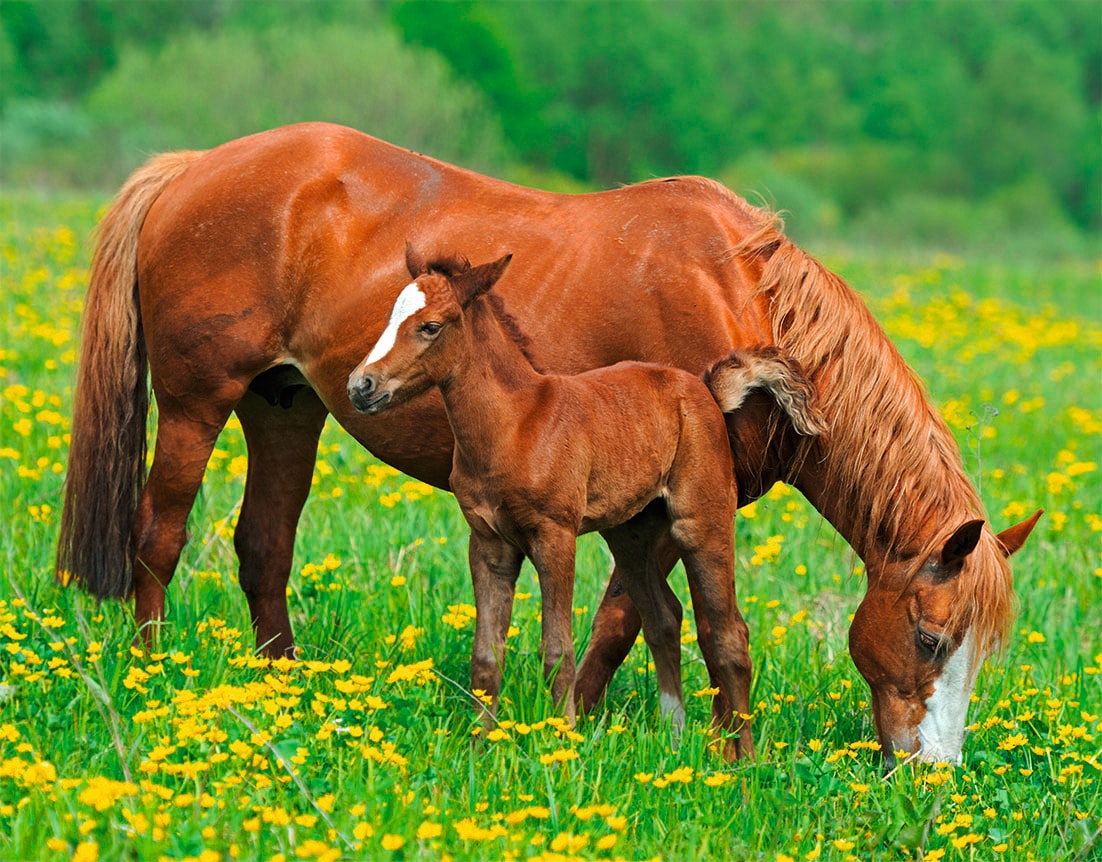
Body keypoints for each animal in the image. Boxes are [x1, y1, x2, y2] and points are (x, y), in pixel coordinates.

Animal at [345, 246, 824, 757]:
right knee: (663, 618)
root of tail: (706, 391)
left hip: (701, 520)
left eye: (430, 326)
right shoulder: (488, 543)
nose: (361, 386)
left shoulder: (555, 536)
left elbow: (557, 651)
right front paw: (478, 748)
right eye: (390, 315)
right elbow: (486, 655)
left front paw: (562, 744)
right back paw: (674, 737)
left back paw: (743, 758)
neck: (515, 425)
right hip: (631, 534)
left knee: (730, 634)